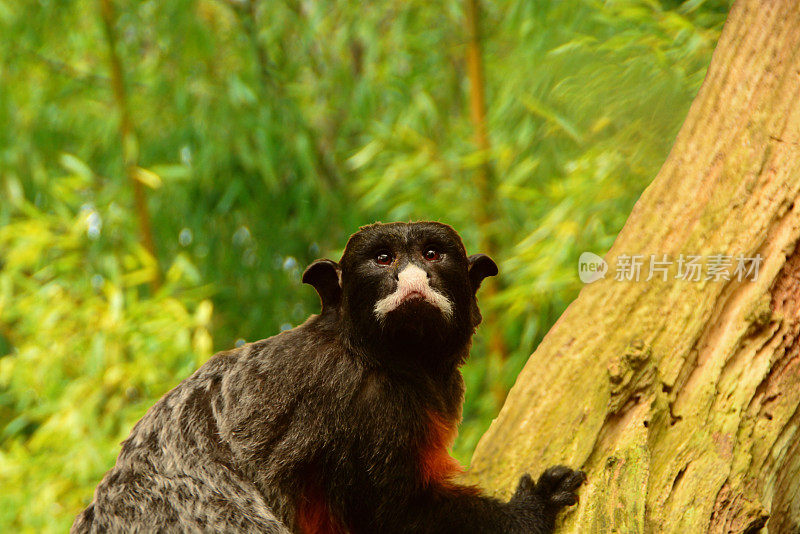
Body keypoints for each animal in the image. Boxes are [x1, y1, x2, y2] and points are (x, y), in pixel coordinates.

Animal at [72, 222, 584, 534]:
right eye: (383, 259)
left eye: (432, 254)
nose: (412, 277)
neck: (375, 356)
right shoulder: (359, 404)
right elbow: (394, 515)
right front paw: (530, 509)